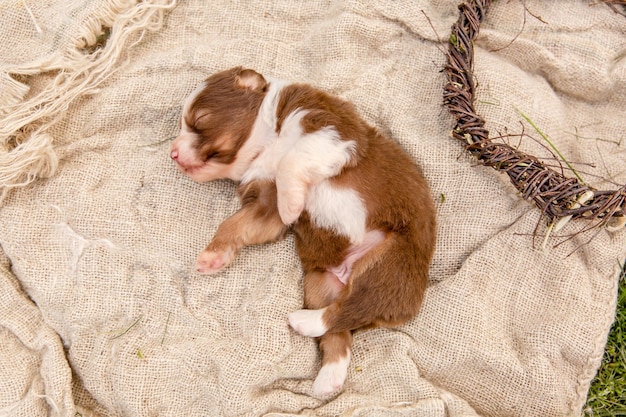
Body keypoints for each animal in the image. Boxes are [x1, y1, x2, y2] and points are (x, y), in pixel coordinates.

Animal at [169, 66, 434, 396]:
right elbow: (235, 224)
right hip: (319, 284)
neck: (267, 142)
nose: (172, 153)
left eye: (200, 118)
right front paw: (213, 256)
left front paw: (293, 205)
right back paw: (327, 380)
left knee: (348, 310)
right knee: (339, 332)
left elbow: (291, 160)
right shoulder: (265, 203)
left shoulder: (326, 127)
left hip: (388, 263)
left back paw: (300, 322)